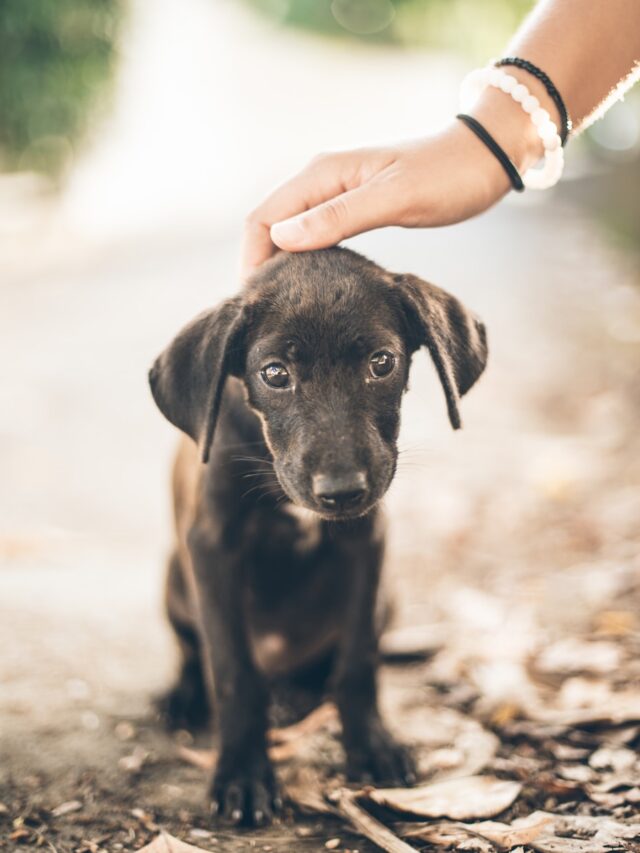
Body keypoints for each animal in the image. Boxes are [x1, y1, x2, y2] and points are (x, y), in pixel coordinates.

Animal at [150, 246, 488, 824]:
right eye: (274, 373)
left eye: (381, 362)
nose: (342, 492)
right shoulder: (212, 550)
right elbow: (233, 670)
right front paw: (243, 773)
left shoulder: (365, 543)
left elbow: (357, 661)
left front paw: (371, 745)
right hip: (174, 581)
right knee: (194, 651)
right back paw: (183, 695)